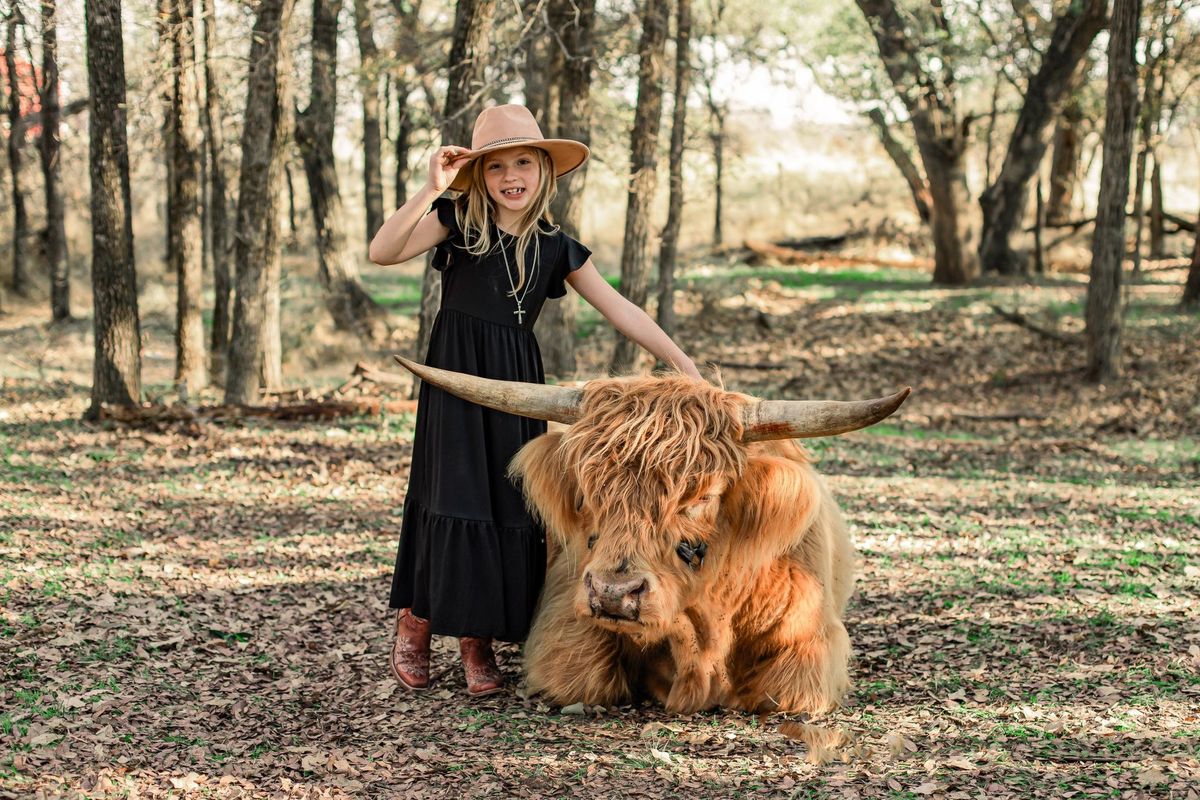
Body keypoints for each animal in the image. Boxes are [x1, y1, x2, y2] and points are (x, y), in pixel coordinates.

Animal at [396, 357, 907, 714]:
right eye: (588, 490)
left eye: (704, 496)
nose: (613, 593)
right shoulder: (566, 620)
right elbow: (584, 676)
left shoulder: (809, 646)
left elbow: (783, 693)